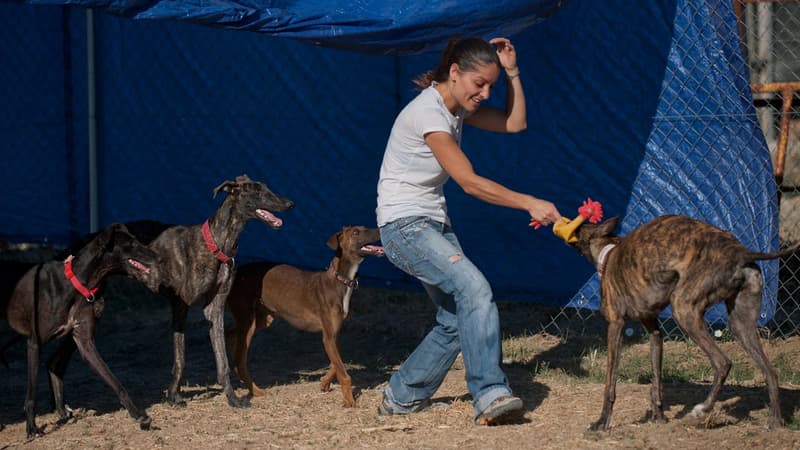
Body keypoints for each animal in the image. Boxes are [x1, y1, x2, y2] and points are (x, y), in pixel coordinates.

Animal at [2, 223, 162, 438]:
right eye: (131, 244)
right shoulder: (34, 343)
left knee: (54, 364)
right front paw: (32, 428)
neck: (76, 283)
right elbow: (31, 393)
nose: (159, 257)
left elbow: (113, 380)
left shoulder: (84, 341)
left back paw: (62, 410)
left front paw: (138, 415)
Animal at [144, 174, 294, 410]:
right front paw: (172, 396)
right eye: (257, 191)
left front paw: (233, 399)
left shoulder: (215, 308)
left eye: (268, 188)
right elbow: (180, 356)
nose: (290, 204)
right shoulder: (181, 304)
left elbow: (222, 360)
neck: (217, 242)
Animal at [568, 216, 792, 430]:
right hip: (741, 325)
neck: (608, 250)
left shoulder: (615, 325)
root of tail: (741, 252)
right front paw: (658, 417)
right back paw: (775, 421)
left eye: (579, 228)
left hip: (684, 310)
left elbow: (610, 384)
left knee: (723, 363)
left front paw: (602, 422)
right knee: (770, 372)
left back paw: (702, 410)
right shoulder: (654, 330)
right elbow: (656, 381)